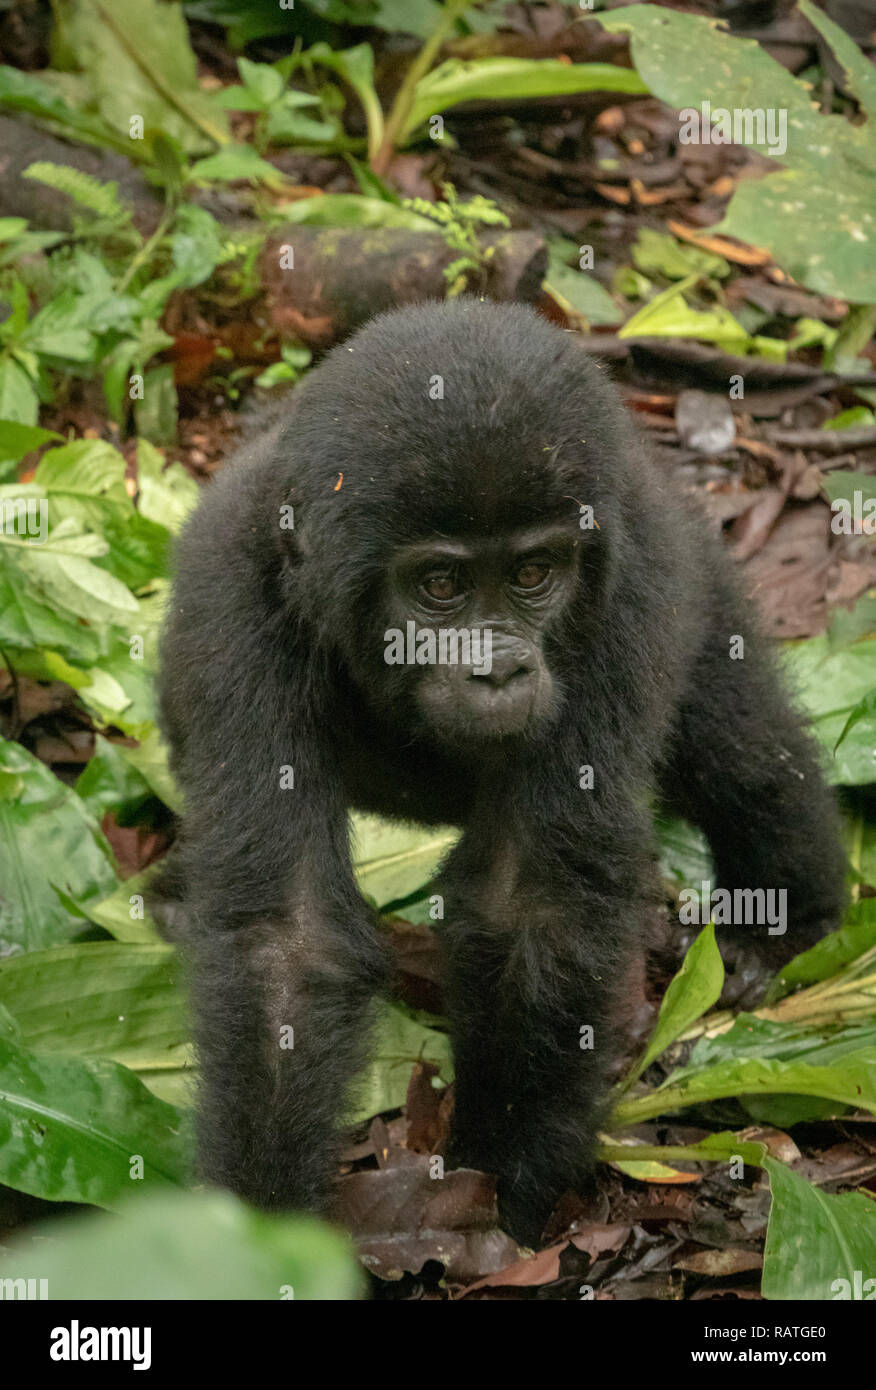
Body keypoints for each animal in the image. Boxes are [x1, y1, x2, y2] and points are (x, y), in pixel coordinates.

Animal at [161, 301, 845, 1251]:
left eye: (532, 574)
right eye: (440, 585)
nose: (501, 670)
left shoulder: (630, 590)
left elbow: (534, 899)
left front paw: (501, 1188)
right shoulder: (230, 600)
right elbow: (286, 941)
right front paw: (252, 1241)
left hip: (692, 560)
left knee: (742, 748)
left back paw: (786, 919)